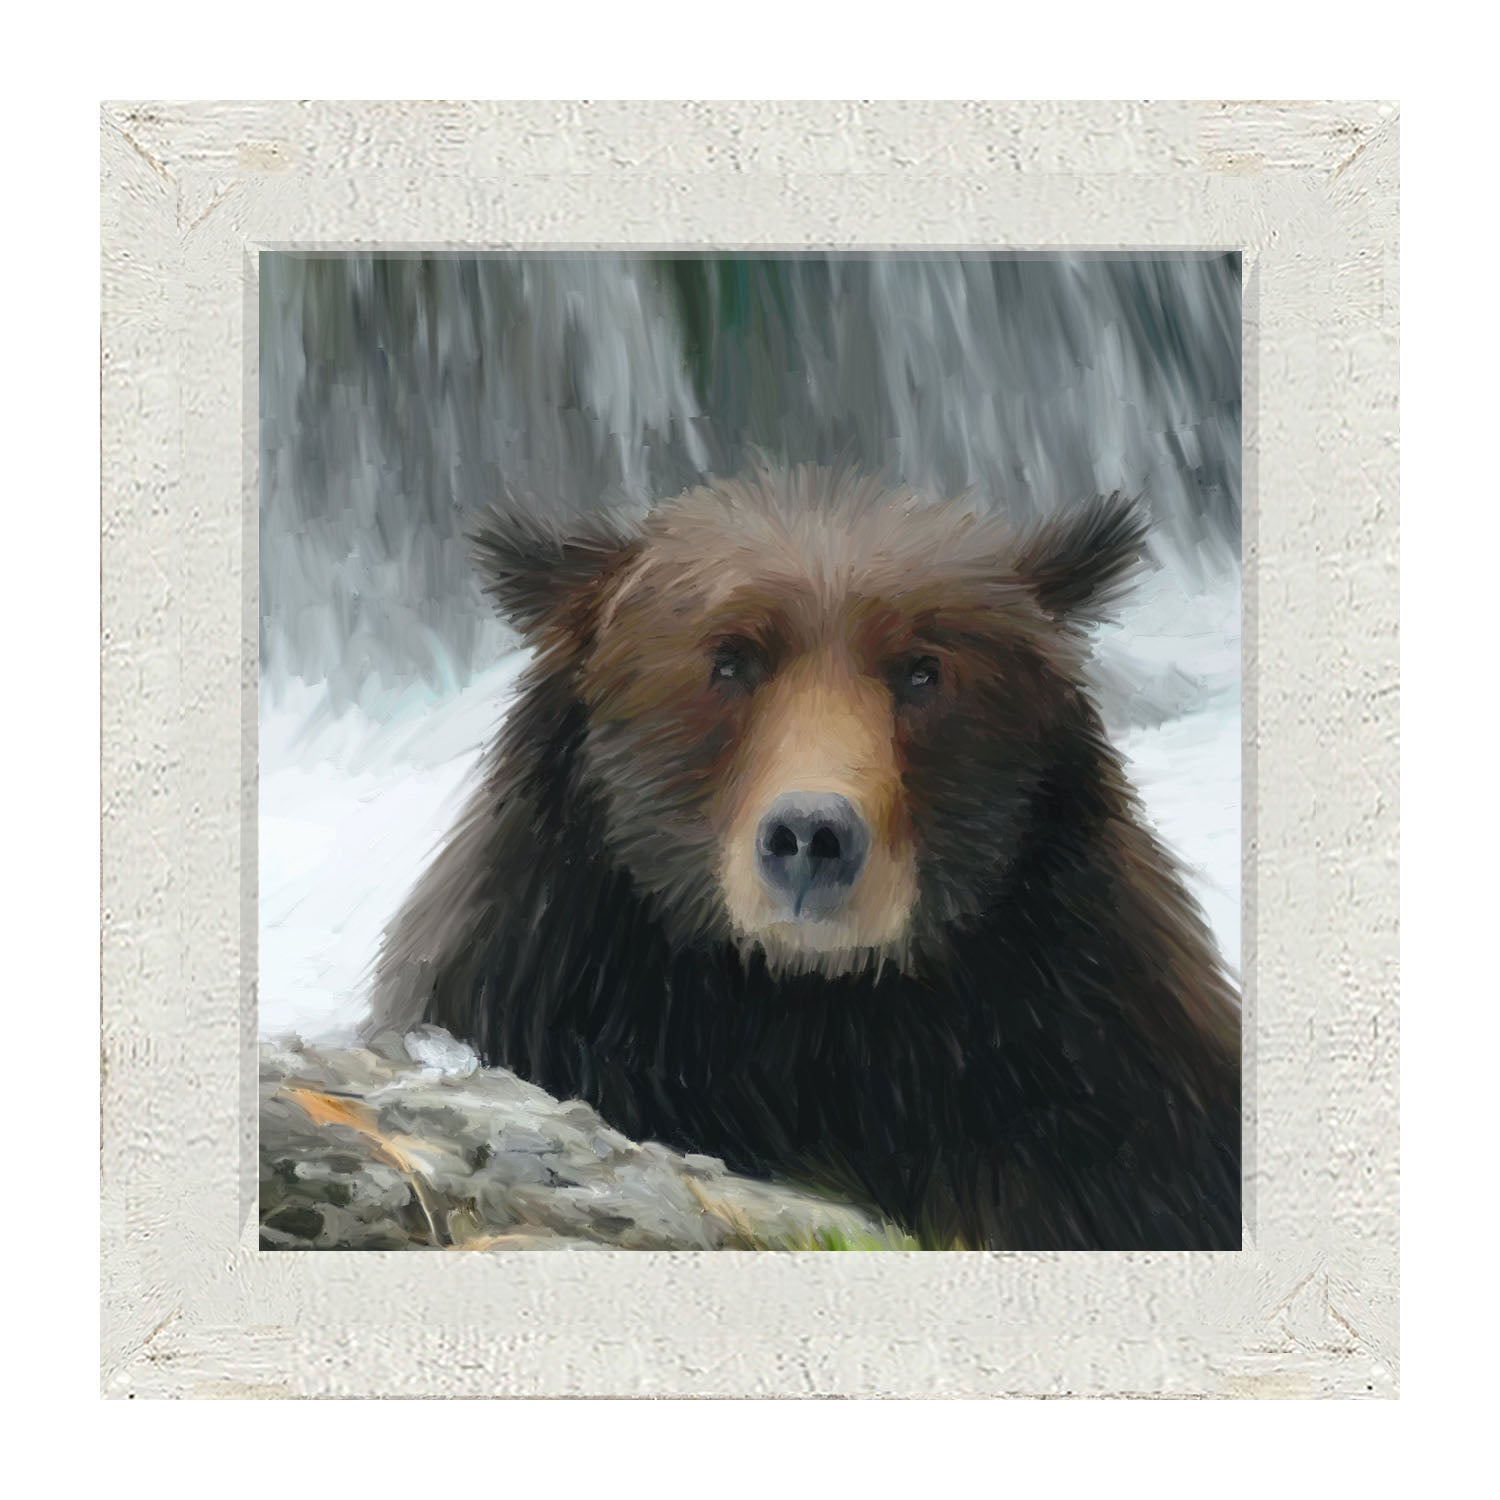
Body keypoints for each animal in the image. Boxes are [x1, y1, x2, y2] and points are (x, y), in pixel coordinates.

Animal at [371, 466, 1242, 1250]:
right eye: (729, 659)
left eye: (923, 669)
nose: (811, 837)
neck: (809, 1015)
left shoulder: (1097, 1081)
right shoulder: (548, 991)